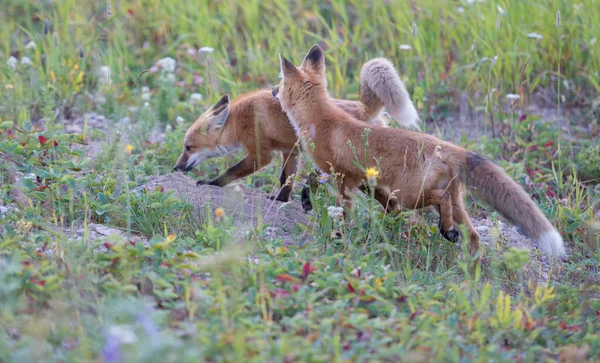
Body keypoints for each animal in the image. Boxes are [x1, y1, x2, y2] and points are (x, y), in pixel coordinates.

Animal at [171, 54, 420, 210]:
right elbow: (286, 179)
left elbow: (232, 170)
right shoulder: (289, 150)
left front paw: (212, 183)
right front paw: (281, 199)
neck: (240, 120)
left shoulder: (261, 154)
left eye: (188, 147)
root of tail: (362, 108)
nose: (175, 168)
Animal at [272, 44, 568, 262]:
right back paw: (469, 271)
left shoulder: (343, 179)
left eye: (280, 82)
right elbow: (319, 182)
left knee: (440, 200)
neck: (322, 119)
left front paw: (336, 235)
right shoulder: (359, 179)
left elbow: (340, 208)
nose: (273, 91)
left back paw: (446, 232)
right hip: (450, 201)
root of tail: (448, 147)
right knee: (472, 234)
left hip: (412, 195)